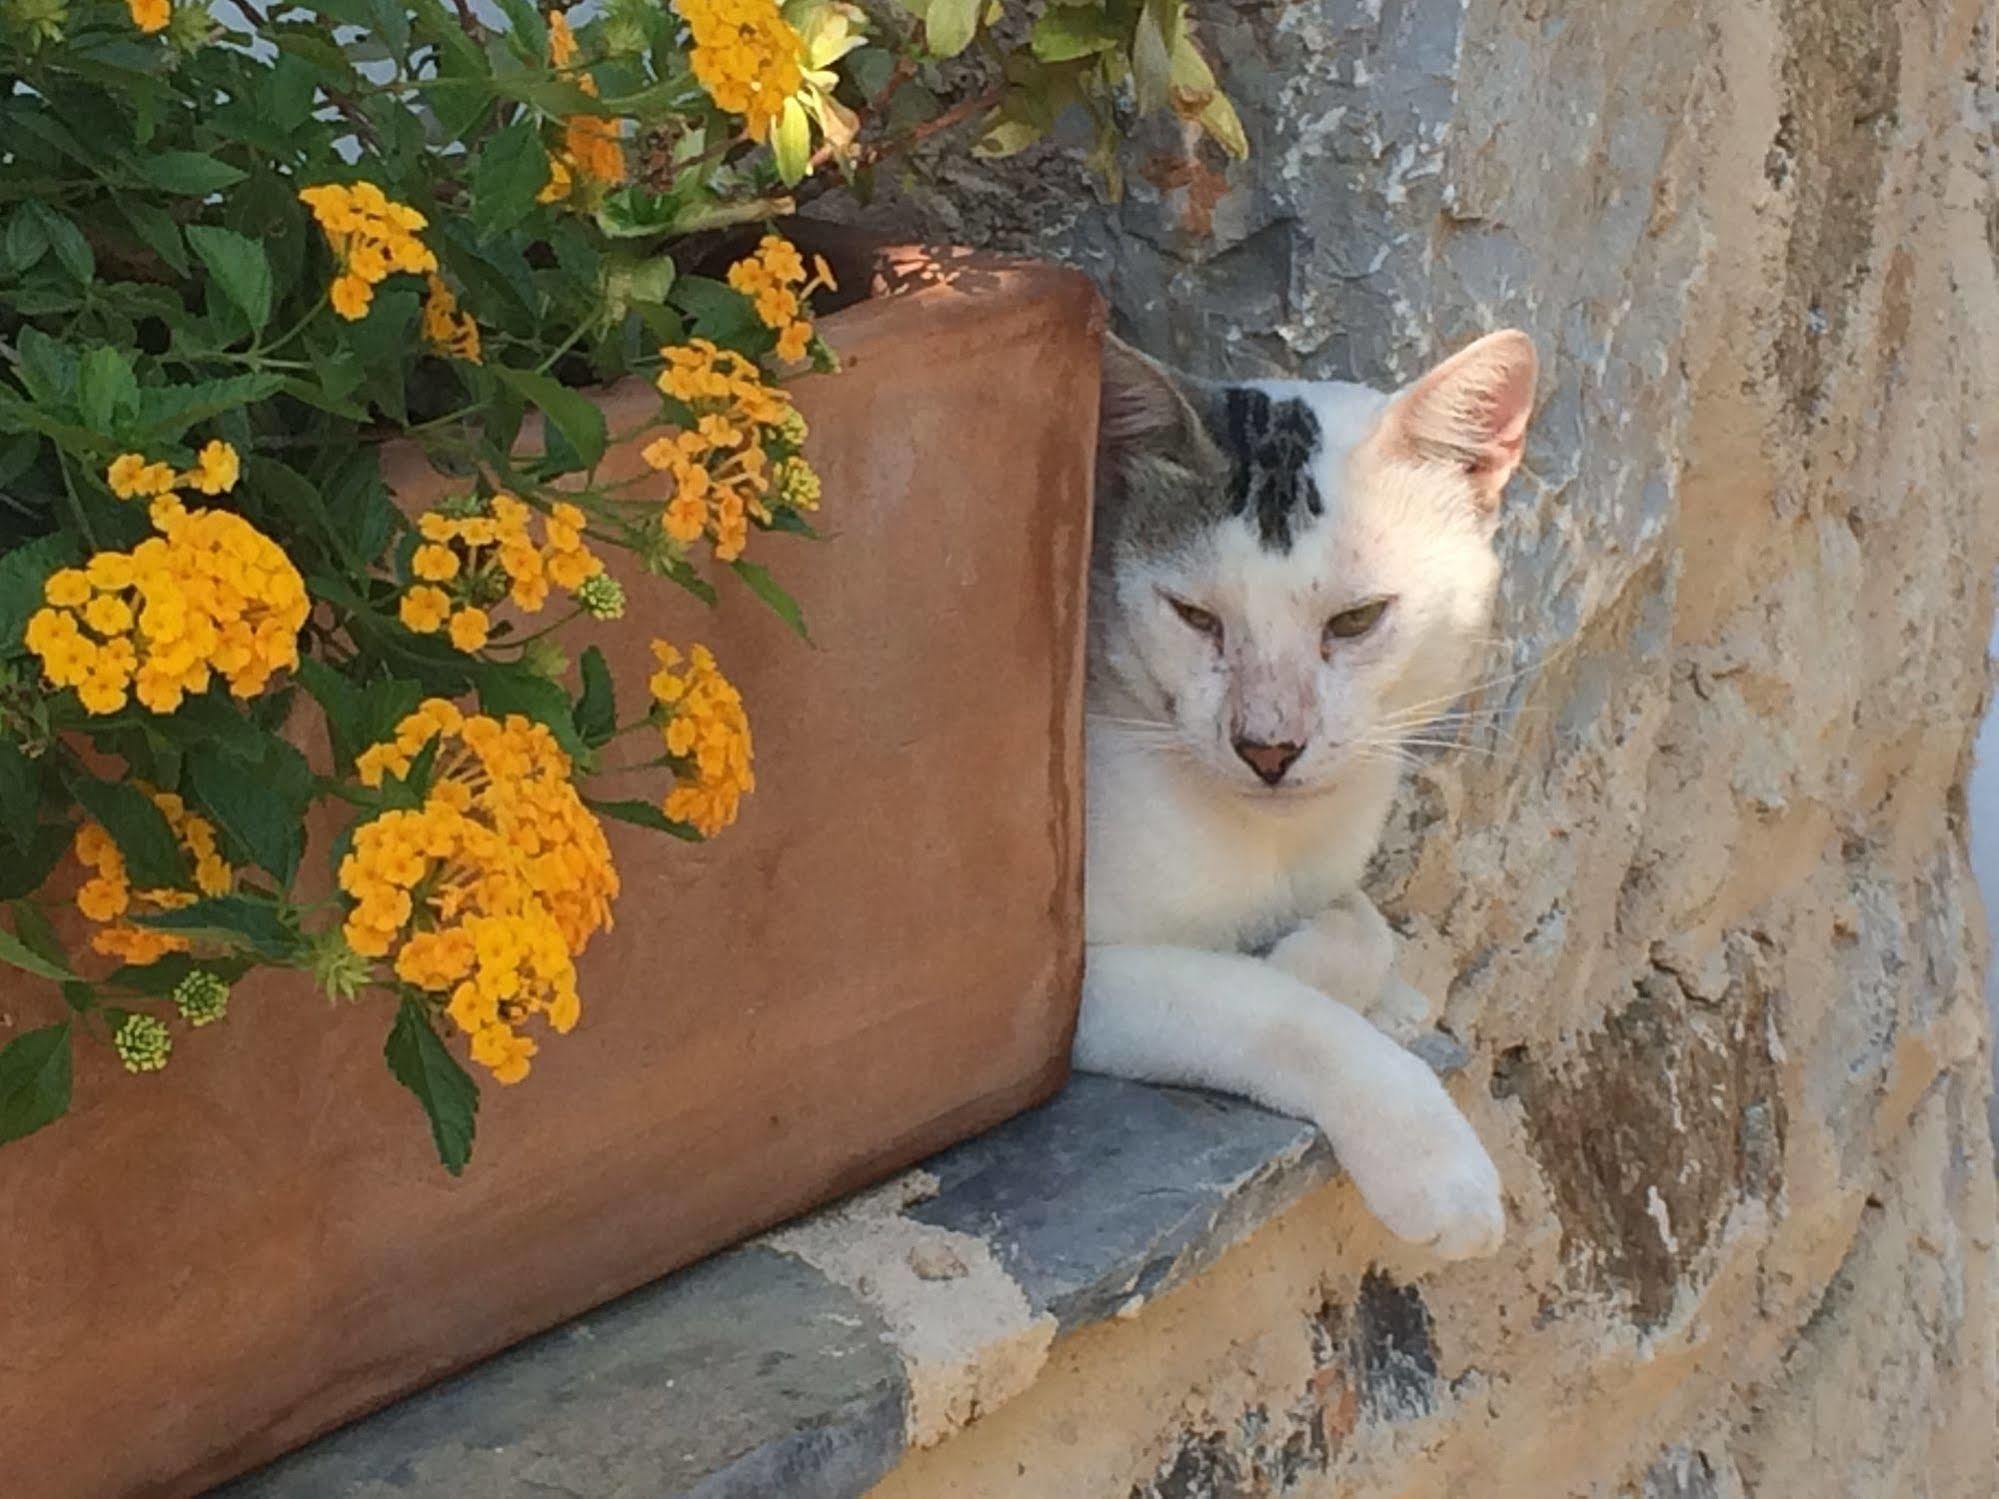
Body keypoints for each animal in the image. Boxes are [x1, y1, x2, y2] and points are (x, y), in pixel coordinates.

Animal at [1071, 325, 1535, 1255]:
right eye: (1194, 616)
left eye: (1355, 620)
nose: (1268, 745)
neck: (1276, 847)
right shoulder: (1061, 988)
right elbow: (1266, 1007)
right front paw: (1434, 1163)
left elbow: (1363, 925)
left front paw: (1352, 975)